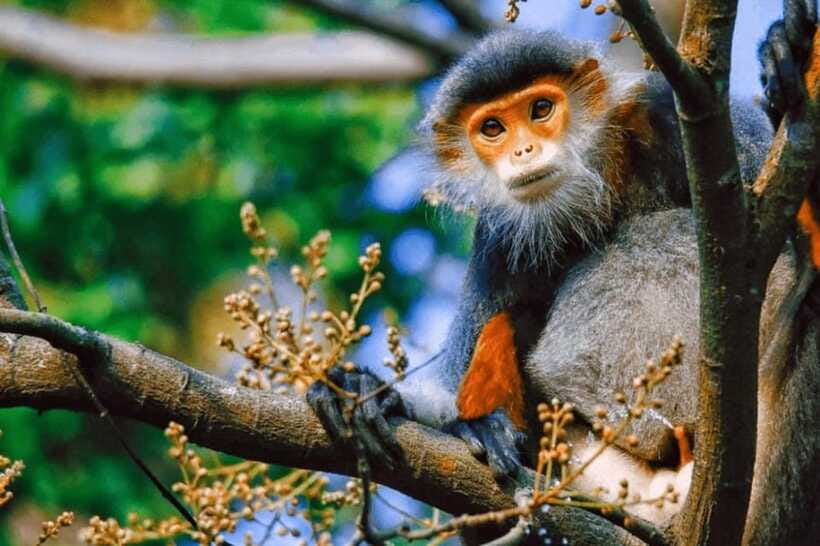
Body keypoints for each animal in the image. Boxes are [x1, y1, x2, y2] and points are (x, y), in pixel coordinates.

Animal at [307, 3, 818, 534]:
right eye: (493, 129)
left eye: (540, 110)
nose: (524, 151)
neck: (596, 184)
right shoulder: (500, 236)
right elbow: (451, 379)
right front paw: (369, 392)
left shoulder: (672, 112)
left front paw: (787, 49)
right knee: (506, 321)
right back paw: (487, 432)